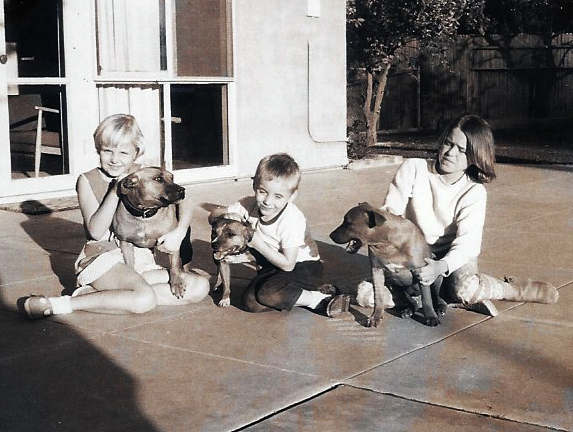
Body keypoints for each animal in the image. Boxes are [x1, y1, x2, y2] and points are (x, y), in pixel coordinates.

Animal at [114, 167, 188, 298]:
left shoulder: (171, 242)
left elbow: (174, 266)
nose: (182, 190)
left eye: (172, 178)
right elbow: (129, 264)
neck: (144, 215)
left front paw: (177, 283)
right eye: (158, 179)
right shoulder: (125, 242)